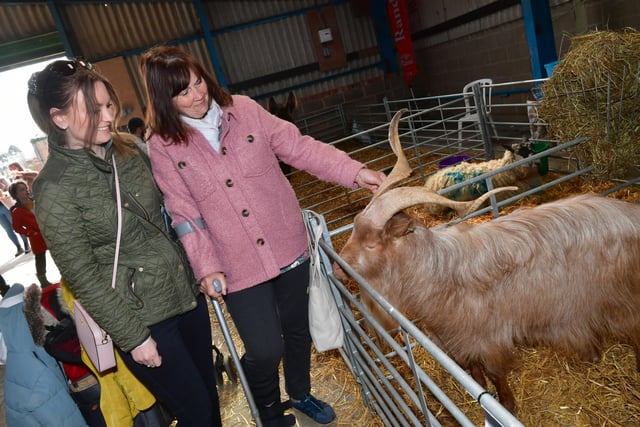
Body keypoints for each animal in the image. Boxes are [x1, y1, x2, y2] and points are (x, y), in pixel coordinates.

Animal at [336, 108, 640, 414]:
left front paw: (506, 404)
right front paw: (478, 391)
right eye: (354, 229)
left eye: (371, 244)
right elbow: (472, 370)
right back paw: (592, 356)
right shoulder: (458, 339)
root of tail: (629, 214)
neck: (439, 271)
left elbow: (496, 372)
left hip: (622, 300)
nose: (338, 268)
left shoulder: (487, 336)